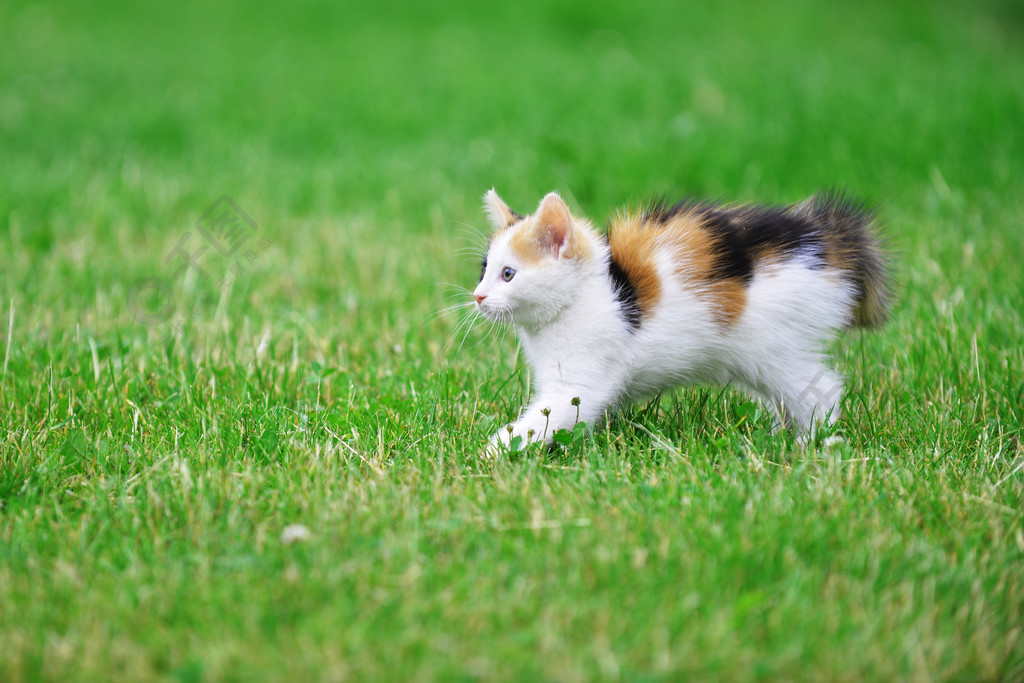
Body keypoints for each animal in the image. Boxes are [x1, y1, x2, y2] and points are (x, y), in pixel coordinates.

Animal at [473, 189, 888, 450]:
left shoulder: (577, 384)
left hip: (776, 345)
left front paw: (491, 453)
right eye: (484, 270)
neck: (582, 296)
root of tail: (823, 239)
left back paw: (813, 444)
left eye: (508, 274)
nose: (477, 297)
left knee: (820, 391)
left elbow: (548, 418)